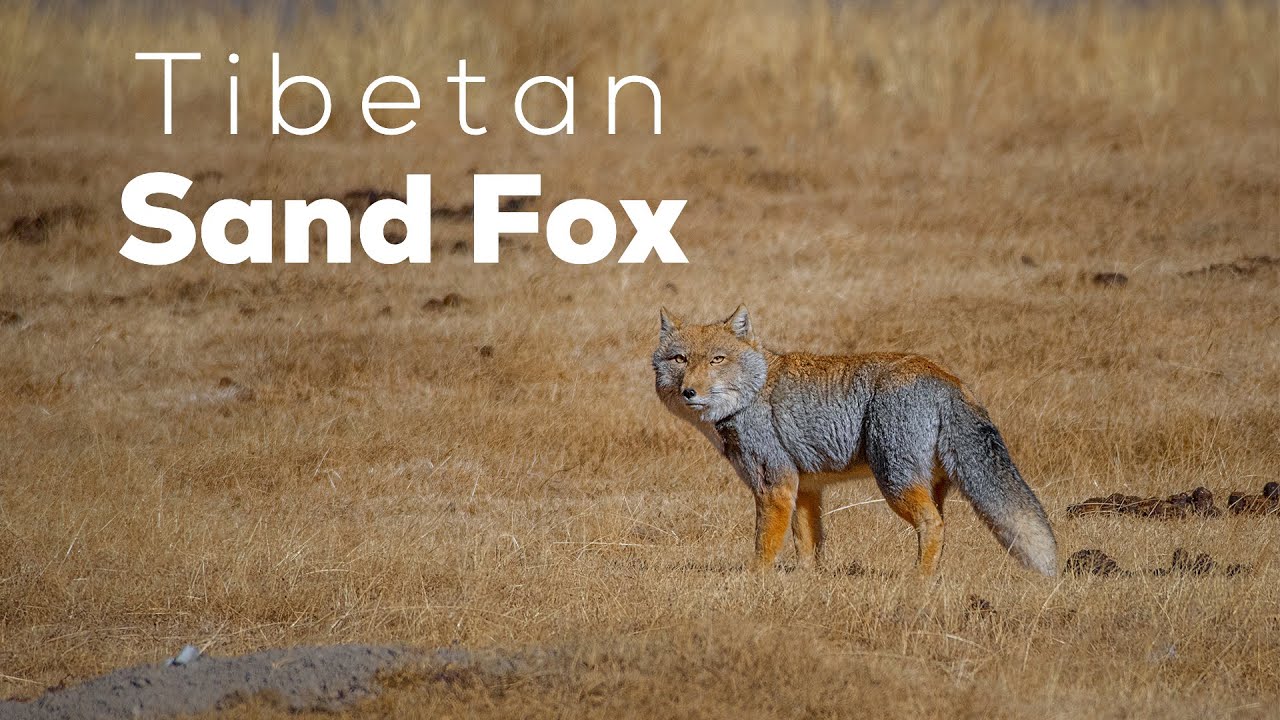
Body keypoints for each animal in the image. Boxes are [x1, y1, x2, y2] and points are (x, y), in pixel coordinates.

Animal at [652, 306, 1057, 577]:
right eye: (680, 359)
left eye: (717, 360)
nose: (689, 392)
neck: (753, 393)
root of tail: (946, 376)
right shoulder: (805, 487)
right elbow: (807, 544)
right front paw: (804, 583)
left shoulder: (775, 484)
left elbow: (764, 545)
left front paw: (755, 582)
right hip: (926, 484)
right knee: (942, 525)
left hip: (894, 481)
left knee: (933, 525)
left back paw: (918, 582)